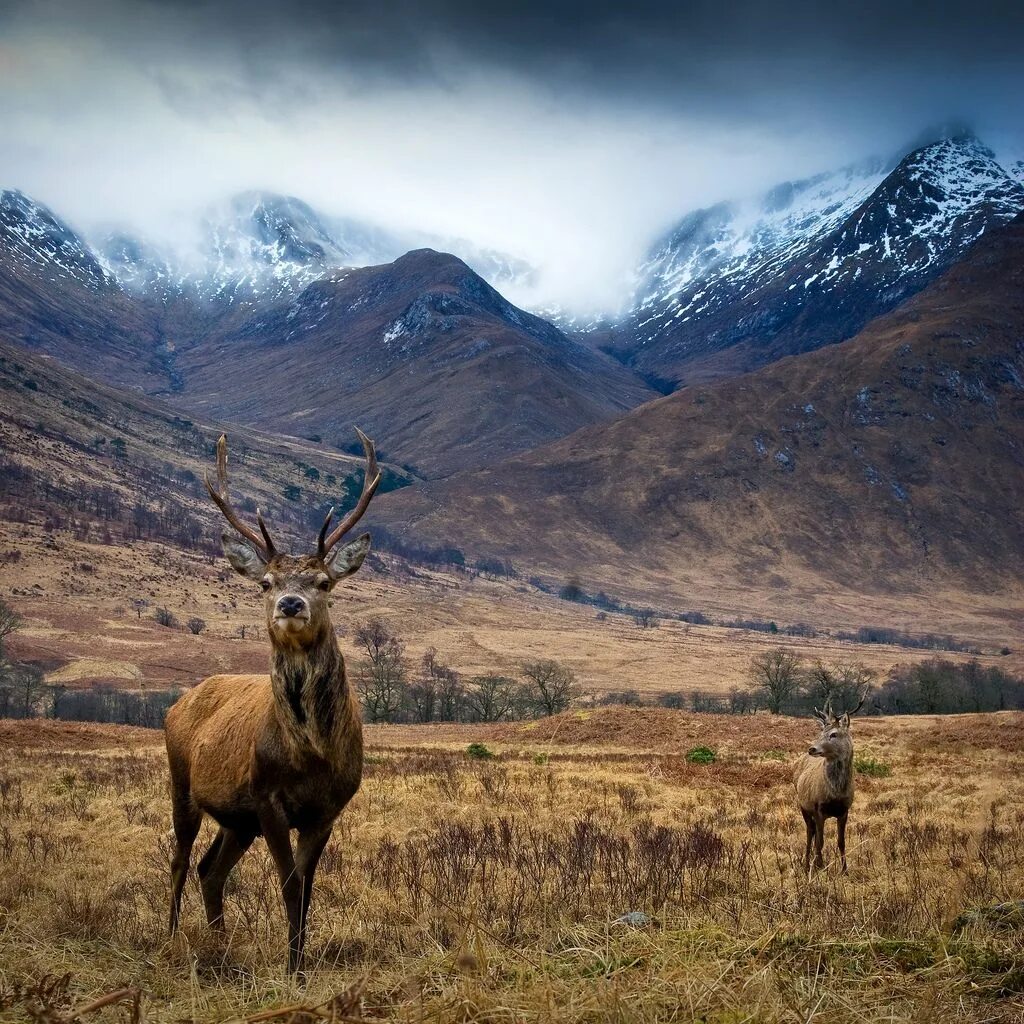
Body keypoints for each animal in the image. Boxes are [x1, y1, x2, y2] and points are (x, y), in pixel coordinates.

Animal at [164, 428, 380, 970]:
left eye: (324, 581)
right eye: (266, 582)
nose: (290, 603)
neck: (311, 755)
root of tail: (179, 703)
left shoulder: (328, 807)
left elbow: (307, 889)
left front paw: (300, 961)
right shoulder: (267, 798)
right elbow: (288, 886)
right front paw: (293, 969)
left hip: (236, 820)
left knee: (210, 869)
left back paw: (219, 944)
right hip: (182, 783)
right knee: (179, 859)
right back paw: (171, 936)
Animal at [790, 688, 864, 872]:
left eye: (834, 734)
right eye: (820, 733)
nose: (812, 748)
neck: (836, 793)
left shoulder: (845, 810)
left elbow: (841, 841)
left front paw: (844, 870)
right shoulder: (818, 808)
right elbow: (820, 842)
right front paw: (820, 867)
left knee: (814, 833)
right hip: (803, 805)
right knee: (810, 833)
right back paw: (807, 864)